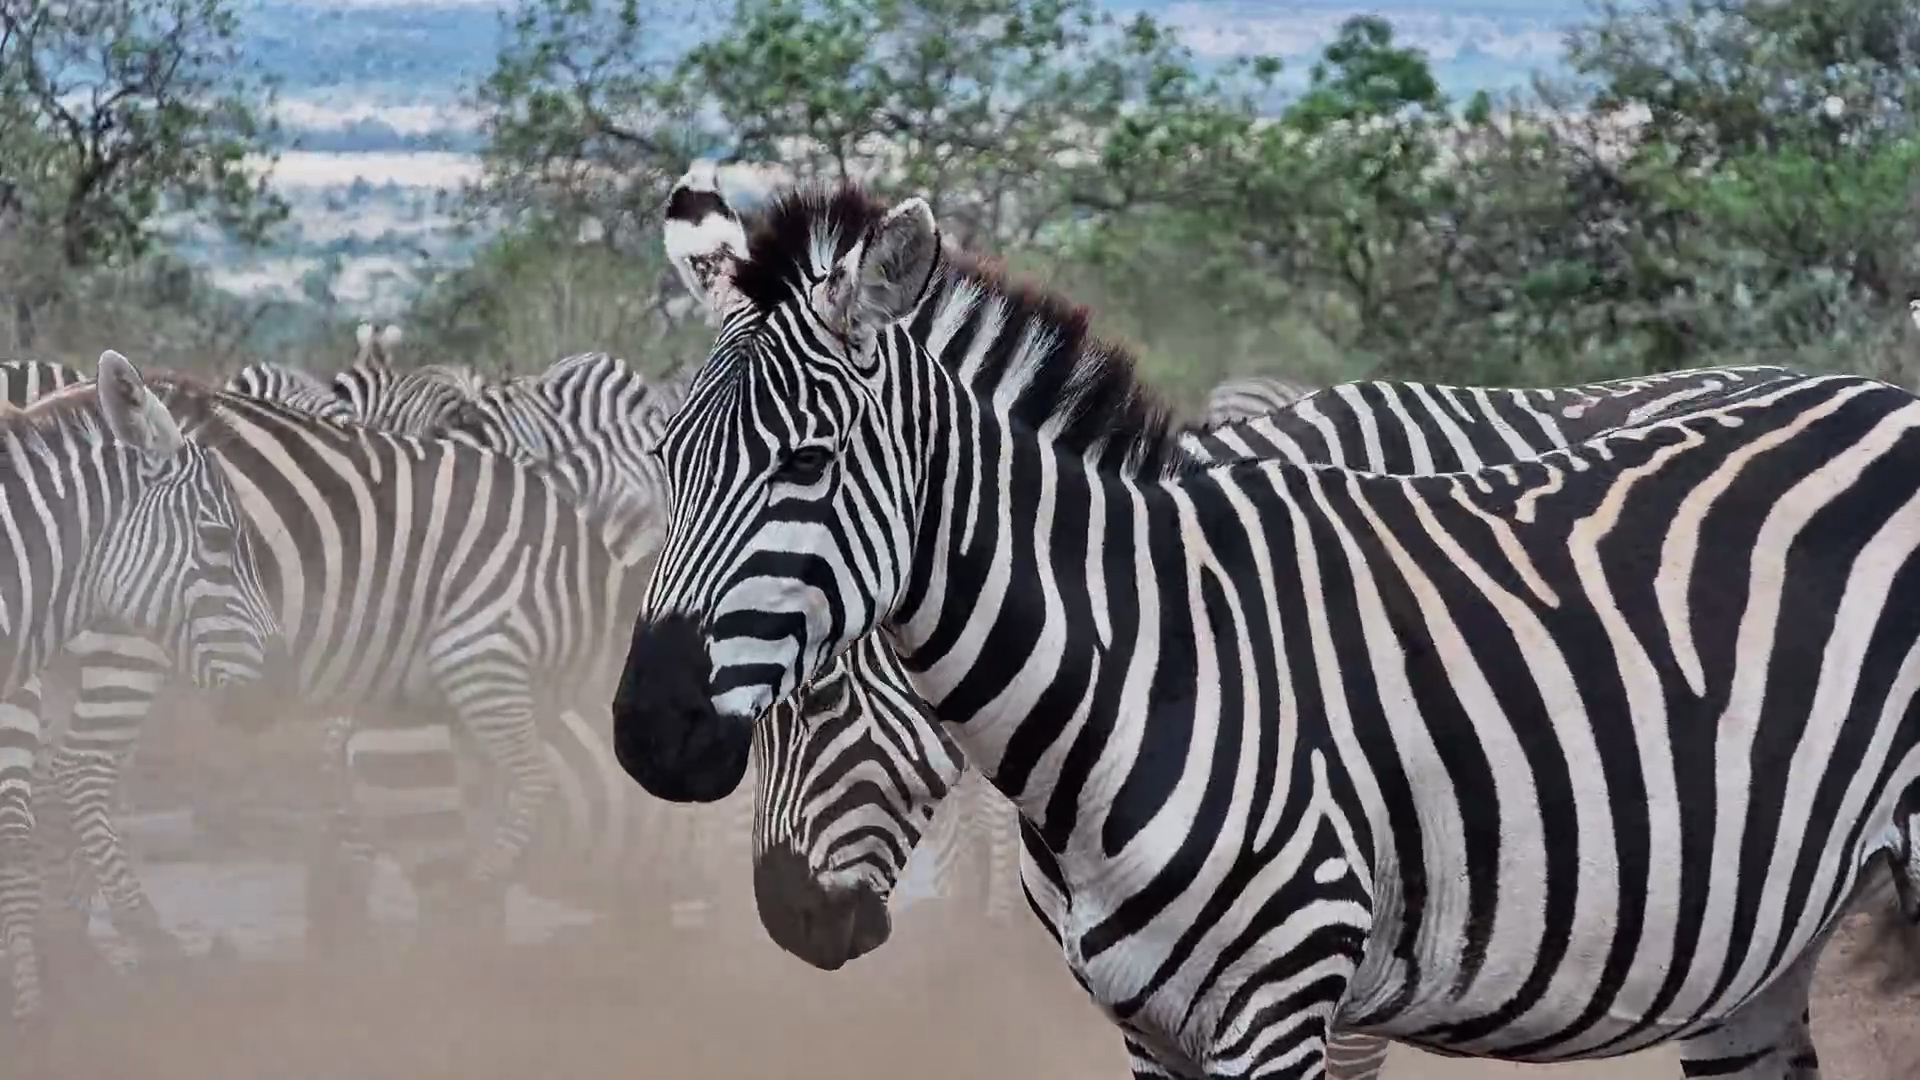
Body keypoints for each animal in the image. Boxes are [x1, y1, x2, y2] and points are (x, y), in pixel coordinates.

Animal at [613, 182, 1920, 1080]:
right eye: (666, 463)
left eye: (806, 464)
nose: (646, 737)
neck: (1148, 665)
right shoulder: (1151, 1029)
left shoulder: (1298, 998)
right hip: (1765, 949)